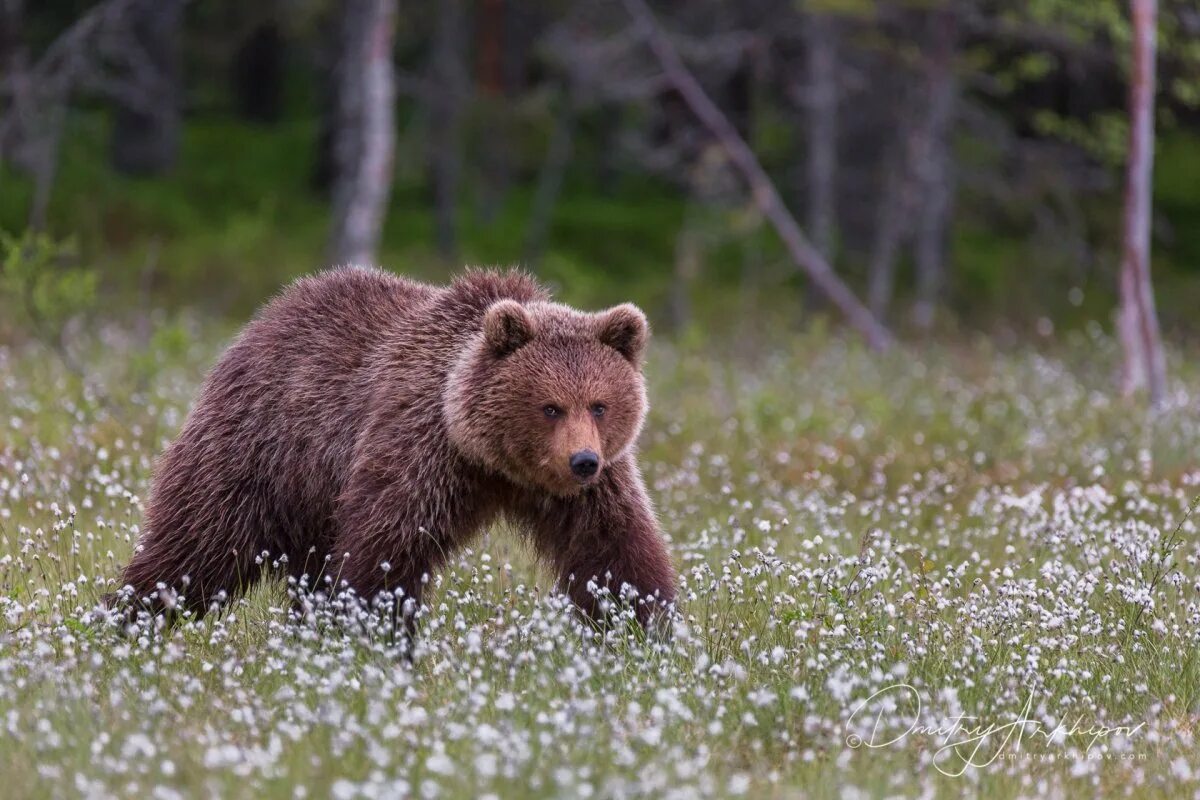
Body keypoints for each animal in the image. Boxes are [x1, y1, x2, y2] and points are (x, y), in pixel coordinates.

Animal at [117, 268, 681, 633]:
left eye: (599, 404)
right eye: (550, 407)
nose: (582, 461)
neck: (491, 459)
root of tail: (262, 320)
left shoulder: (589, 487)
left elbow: (614, 547)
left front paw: (646, 631)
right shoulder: (419, 442)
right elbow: (389, 546)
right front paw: (377, 636)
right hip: (261, 448)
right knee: (198, 543)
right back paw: (129, 617)